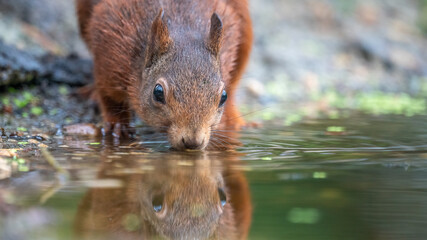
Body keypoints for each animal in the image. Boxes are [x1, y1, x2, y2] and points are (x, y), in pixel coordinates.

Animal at [76, 0, 252, 150]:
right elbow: (109, 97)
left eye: (223, 96)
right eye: (158, 92)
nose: (192, 142)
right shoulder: (109, 52)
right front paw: (118, 125)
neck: (182, 26)